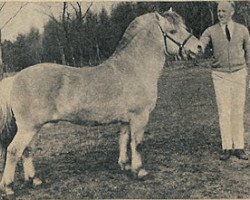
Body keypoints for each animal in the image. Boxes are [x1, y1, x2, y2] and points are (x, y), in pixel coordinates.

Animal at [0, 10, 200, 196]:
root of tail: (15, 78)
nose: (199, 46)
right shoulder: (140, 116)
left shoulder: (126, 120)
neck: (133, 68)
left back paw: (35, 180)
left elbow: (123, 140)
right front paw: (139, 170)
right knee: (14, 151)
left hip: (34, 128)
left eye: (184, 27)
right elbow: (137, 143)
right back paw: (8, 187)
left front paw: (125, 165)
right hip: (28, 128)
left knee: (27, 151)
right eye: (173, 31)